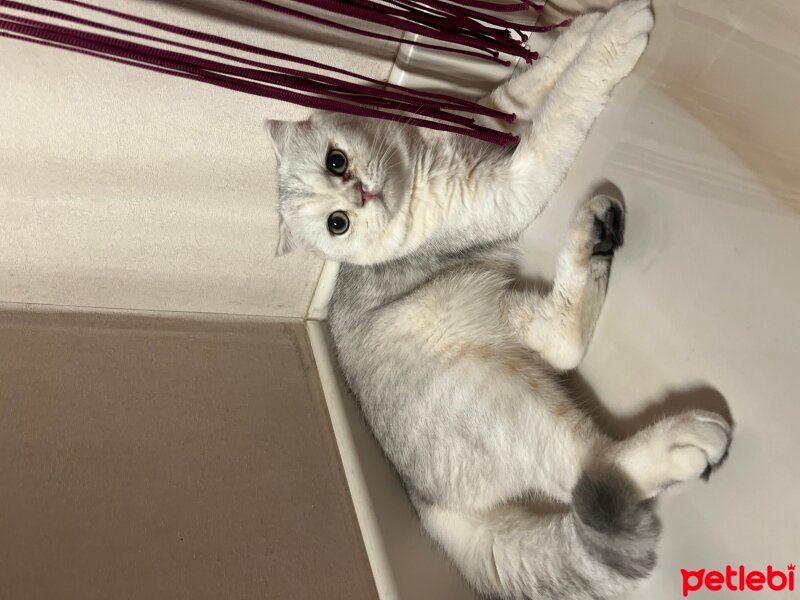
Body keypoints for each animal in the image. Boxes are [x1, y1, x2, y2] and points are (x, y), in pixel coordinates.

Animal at [268, 2, 732, 596]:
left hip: (503, 316)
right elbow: (565, 106)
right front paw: (616, 36)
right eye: (337, 223)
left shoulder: (493, 116)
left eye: (336, 161)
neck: (422, 156)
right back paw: (680, 439)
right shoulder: (515, 182)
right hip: (492, 363)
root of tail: (430, 508)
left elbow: (531, 83)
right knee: (588, 454)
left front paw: (582, 27)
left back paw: (596, 240)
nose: (362, 194)